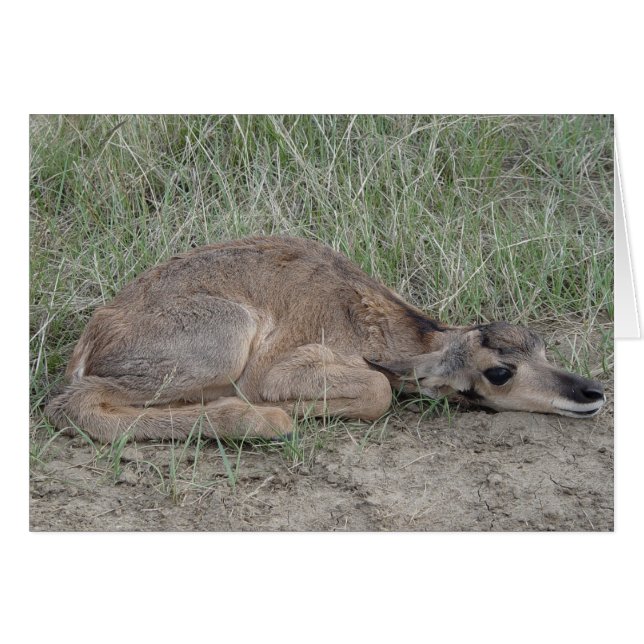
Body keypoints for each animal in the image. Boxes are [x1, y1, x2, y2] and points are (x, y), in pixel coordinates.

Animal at [45, 236, 606, 443]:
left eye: (541, 345)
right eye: (499, 372)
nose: (593, 392)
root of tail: (93, 335)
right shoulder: (284, 369)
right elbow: (378, 391)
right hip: (224, 338)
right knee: (73, 403)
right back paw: (261, 419)